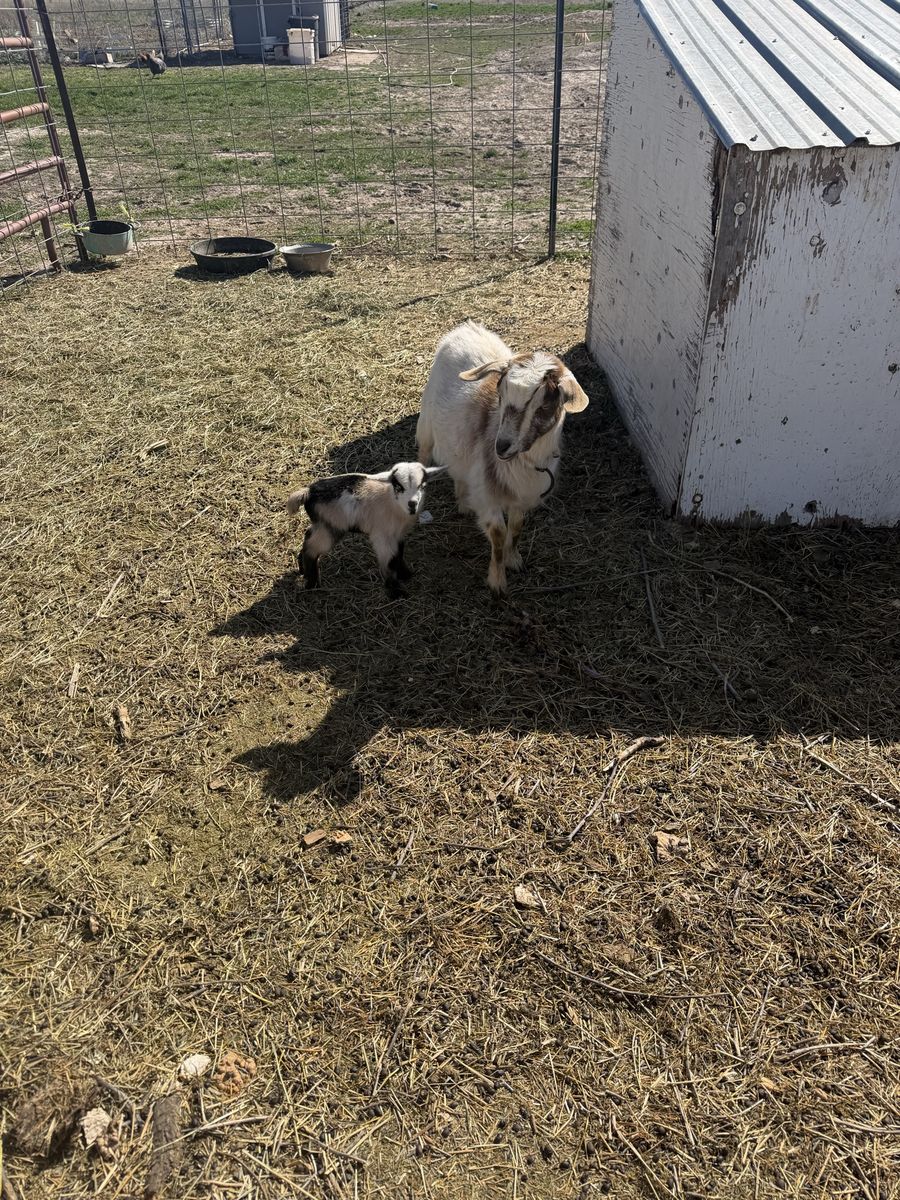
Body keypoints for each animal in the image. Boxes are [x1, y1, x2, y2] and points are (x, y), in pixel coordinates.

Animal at [287, 462, 446, 597]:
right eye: (398, 487)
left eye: (422, 486)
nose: (412, 504)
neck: (392, 503)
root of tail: (308, 492)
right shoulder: (382, 536)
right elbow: (389, 560)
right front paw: (395, 592)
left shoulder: (398, 534)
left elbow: (399, 553)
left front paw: (405, 574)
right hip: (331, 527)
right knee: (311, 549)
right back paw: (312, 584)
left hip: (322, 524)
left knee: (308, 536)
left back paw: (302, 570)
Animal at [416, 320, 589, 594]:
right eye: (501, 395)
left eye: (544, 406)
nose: (502, 447)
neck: (526, 463)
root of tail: (466, 328)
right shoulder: (489, 496)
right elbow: (498, 534)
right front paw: (497, 582)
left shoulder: (522, 496)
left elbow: (516, 528)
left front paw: (514, 559)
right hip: (426, 424)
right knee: (422, 456)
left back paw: (464, 503)